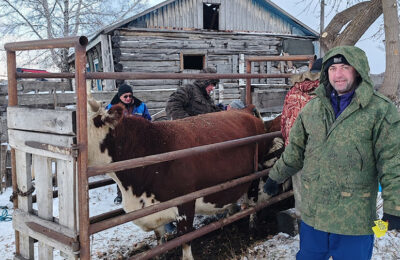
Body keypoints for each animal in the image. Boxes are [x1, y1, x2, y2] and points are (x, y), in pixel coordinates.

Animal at [87, 98, 268, 258]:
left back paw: (252, 229)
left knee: (253, 201)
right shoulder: (153, 209)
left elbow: (185, 241)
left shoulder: (185, 204)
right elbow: (159, 238)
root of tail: (245, 110)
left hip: (256, 172)